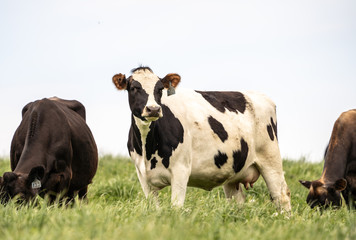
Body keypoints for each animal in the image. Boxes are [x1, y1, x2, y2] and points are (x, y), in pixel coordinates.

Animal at [112, 66, 290, 211]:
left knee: (281, 195)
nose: (154, 109)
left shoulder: (181, 170)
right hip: (234, 172)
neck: (147, 148)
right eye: (133, 88)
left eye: (160, 89)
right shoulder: (143, 176)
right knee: (237, 202)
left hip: (270, 159)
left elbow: (176, 207)